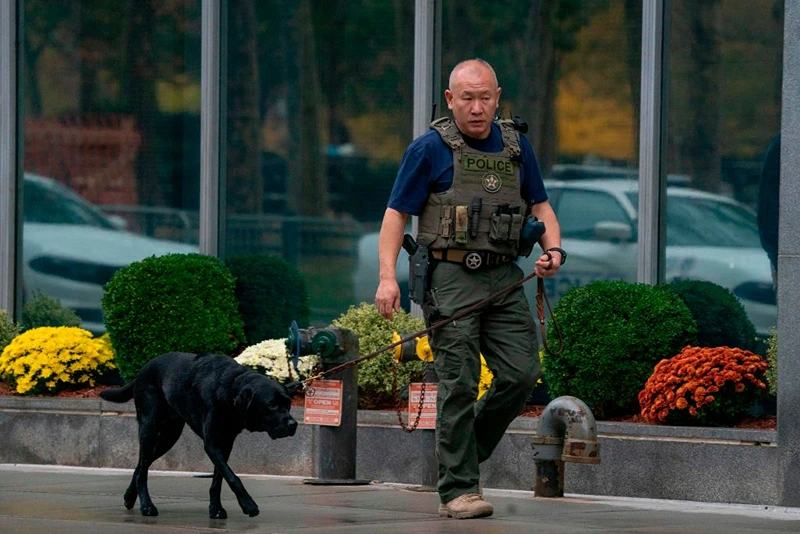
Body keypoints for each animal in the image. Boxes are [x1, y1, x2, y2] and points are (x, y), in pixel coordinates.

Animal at [100, 354, 298, 520]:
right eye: (272, 405)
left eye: (288, 404)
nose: (293, 424)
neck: (231, 390)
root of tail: (142, 371)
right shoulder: (212, 444)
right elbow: (233, 477)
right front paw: (248, 505)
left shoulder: (225, 444)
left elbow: (218, 479)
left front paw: (216, 509)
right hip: (149, 428)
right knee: (143, 468)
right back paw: (147, 506)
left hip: (169, 436)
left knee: (142, 465)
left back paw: (129, 496)